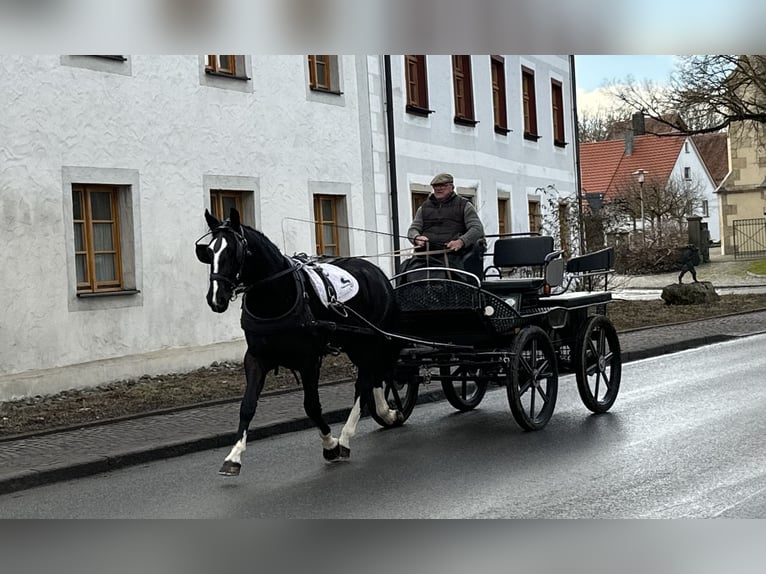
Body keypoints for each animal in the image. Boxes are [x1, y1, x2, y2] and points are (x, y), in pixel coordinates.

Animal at [195, 209, 404, 480]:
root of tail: (376, 272)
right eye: (208, 253)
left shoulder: (309, 360)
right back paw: (386, 413)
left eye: (234, 252)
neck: (276, 296)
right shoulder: (256, 358)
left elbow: (312, 406)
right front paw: (233, 457)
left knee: (365, 383)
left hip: (368, 341)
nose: (215, 298)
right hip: (357, 344)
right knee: (374, 377)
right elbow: (247, 405)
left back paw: (346, 437)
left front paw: (331, 445)